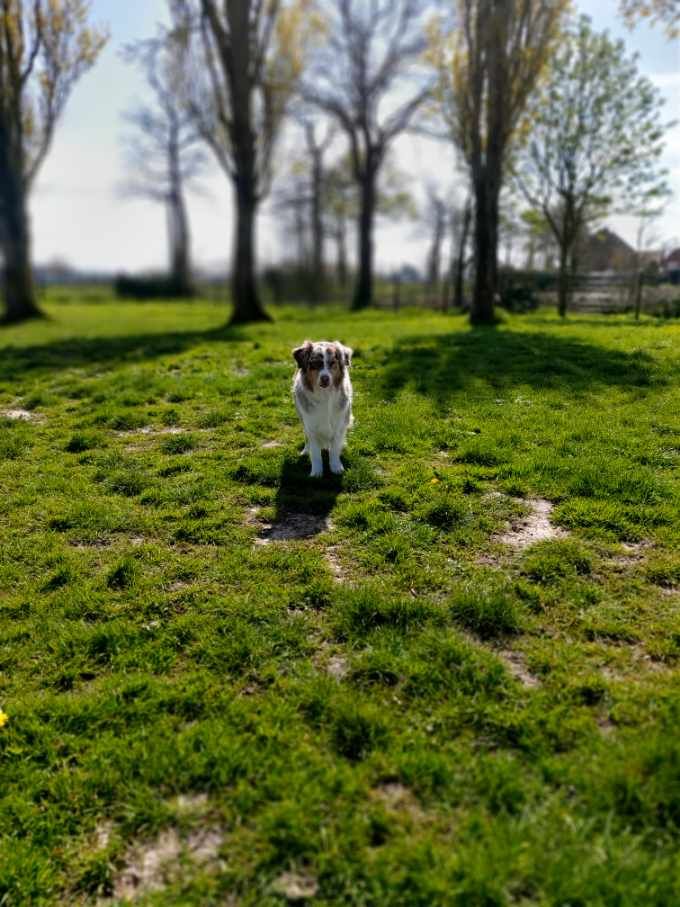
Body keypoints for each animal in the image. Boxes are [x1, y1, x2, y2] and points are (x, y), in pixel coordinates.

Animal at [294, 340, 356, 478]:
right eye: (315, 364)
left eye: (332, 363)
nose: (325, 378)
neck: (325, 395)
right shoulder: (311, 426)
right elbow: (315, 452)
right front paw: (316, 472)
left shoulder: (339, 425)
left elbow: (334, 449)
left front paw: (336, 467)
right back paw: (306, 450)